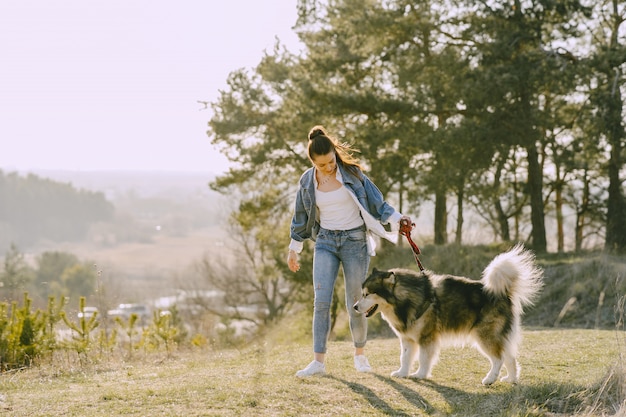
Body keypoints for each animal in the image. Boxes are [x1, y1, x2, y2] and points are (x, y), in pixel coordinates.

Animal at [352, 244, 540, 384]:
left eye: (366, 294)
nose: (354, 307)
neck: (405, 299)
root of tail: (501, 293)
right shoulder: (407, 339)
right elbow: (404, 357)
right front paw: (402, 373)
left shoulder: (427, 338)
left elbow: (423, 359)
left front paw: (420, 374)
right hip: (498, 336)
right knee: (510, 357)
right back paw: (511, 379)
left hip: (485, 335)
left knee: (498, 358)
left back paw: (490, 379)